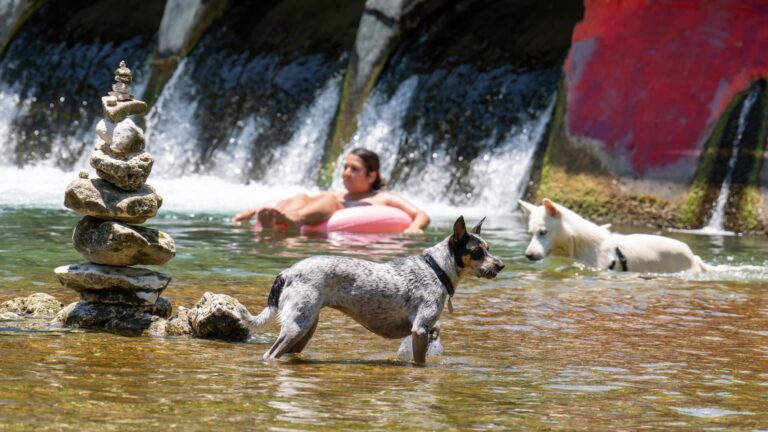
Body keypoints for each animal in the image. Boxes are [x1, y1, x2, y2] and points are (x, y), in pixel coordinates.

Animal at [249, 218, 508, 362]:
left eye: (488, 248)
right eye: (477, 252)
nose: (501, 265)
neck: (437, 268)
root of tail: (287, 272)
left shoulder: (425, 330)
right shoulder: (419, 330)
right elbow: (420, 362)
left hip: (306, 327)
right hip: (296, 327)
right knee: (270, 355)